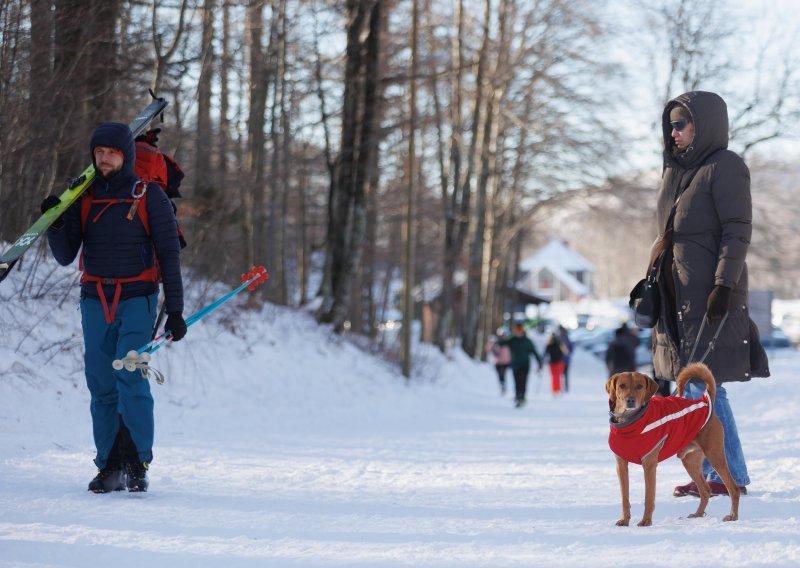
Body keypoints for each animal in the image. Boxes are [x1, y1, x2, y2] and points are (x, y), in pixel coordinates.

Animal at [608, 364, 740, 528]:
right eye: (622, 386)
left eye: (639, 386)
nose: (630, 401)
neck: (631, 423)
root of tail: (706, 402)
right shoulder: (621, 465)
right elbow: (625, 497)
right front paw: (625, 520)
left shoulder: (649, 465)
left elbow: (649, 497)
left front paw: (646, 521)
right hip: (690, 461)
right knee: (705, 490)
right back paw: (697, 514)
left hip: (715, 456)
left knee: (733, 488)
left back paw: (733, 516)